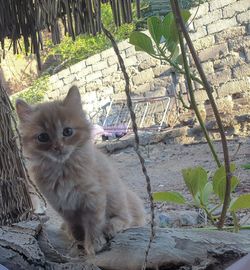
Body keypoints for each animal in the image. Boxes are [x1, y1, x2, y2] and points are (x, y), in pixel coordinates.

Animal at [16, 86, 145, 255]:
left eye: (67, 131)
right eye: (43, 137)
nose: (58, 147)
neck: (61, 170)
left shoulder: (93, 197)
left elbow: (93, 224)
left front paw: (94, 244)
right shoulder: (62, 205)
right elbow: (75, 226)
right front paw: (78, 240)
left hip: (116, 196)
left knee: (127, 218)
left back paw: (111, 226)